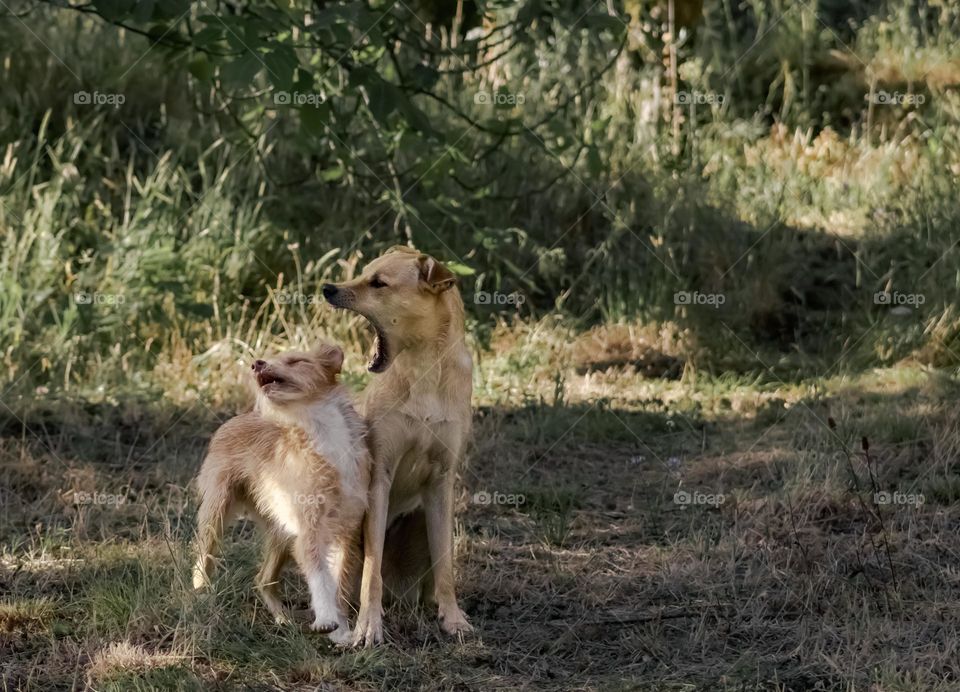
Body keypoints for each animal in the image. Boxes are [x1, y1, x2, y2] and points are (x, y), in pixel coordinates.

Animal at [191, 344, 368, 648]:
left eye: (296, 361)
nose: (256, 363)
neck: (323, 435)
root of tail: (240, 416)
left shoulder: (346, 532)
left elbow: (340, 587)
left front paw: (341, 631)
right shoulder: (309, 534)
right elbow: (320, 579)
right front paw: (326, 619)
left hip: (282, 533)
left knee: (263, 579)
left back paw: (283, 619)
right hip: (216, 514)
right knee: (203, 560)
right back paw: (201, 594)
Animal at [322, 246, 472, 648]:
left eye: (378, 283)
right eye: (363, 273)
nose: (328, 288)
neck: (425, 370)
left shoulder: (441, 481)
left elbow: (446, 566)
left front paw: (453, 619)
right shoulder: (380, 478)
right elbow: (370, 571)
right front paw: (369, 627)